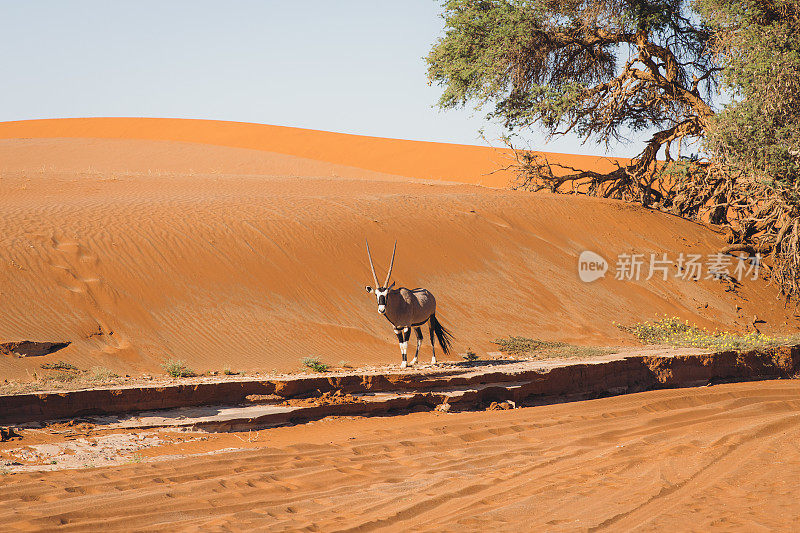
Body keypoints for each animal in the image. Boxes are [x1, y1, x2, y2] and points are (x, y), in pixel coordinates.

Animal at [366, 240, 454, 368]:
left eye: (387, 294)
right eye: (376, 294)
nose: (381, 310)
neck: (398, 305)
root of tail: (429, 294)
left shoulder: (407, 327)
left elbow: (405, 344)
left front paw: (404, 363)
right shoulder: (397, 328)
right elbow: (401, 344)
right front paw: (404, 362)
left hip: (430, 318)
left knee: (432, 337)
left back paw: (433, 360)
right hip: (416, 324)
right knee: (420, 338)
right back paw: (414, 360)